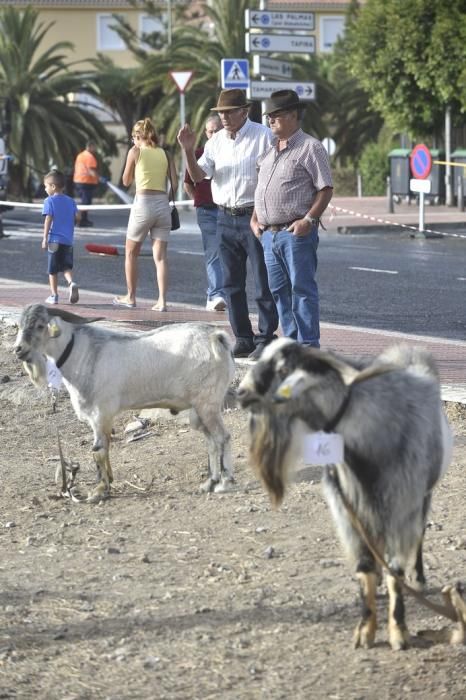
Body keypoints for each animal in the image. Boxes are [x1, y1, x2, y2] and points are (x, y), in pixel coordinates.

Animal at [15, 304, 237, 500]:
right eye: (19, 325)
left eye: (40, 325)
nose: (18, 349)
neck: (83, 352)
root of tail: (217, 338)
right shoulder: (103, 417)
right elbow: (106, 446)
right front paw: (108, 483)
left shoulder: (100, 413)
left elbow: (98, 451)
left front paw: (99, 490)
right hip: (199, 408)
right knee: (211, 440)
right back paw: (209, 482)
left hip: (208, 403)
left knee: (222, 437)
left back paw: (225, 483)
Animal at [237, 340, 452, 652]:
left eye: (284, 369)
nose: (240, 392)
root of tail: (409, 353)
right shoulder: (347, 510)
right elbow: (364, 569)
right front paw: (365, 631)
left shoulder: (400, 507)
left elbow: (396, 572)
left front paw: (399, 632)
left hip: (422, 497)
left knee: (419, 537)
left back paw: (419, 578)